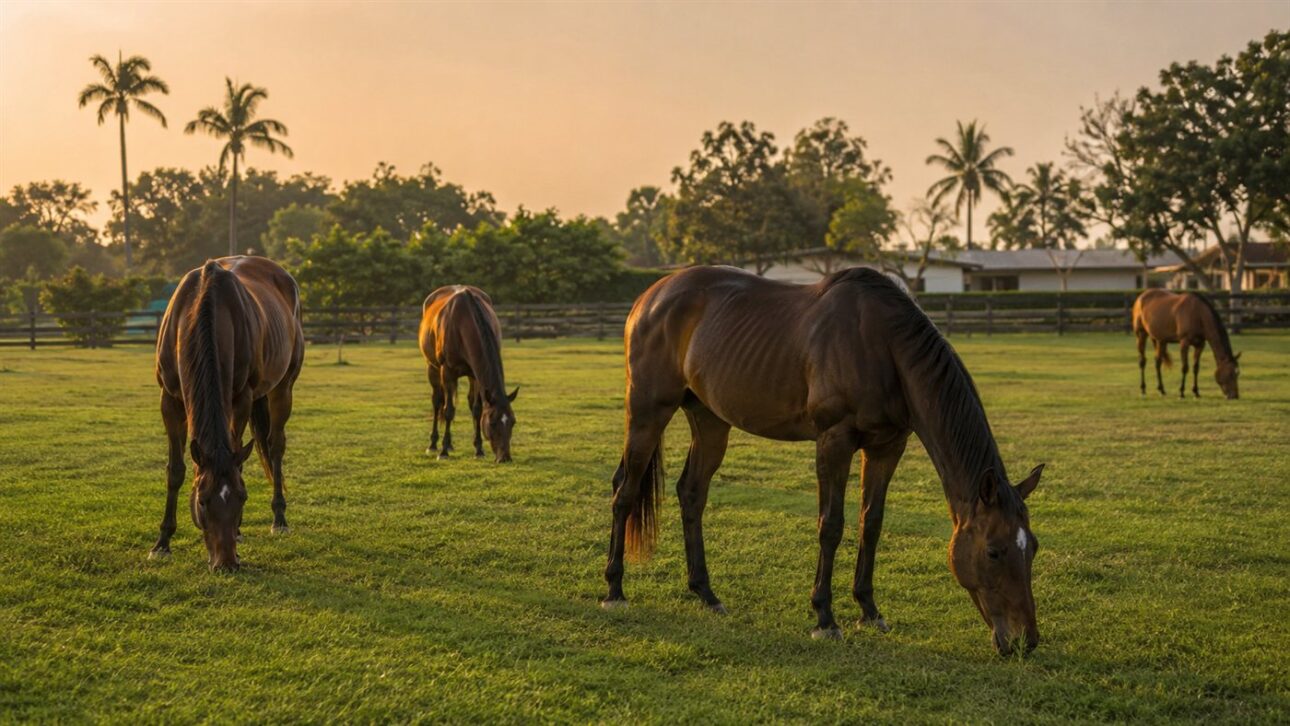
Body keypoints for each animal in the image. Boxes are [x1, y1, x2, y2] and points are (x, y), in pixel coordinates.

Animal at [152, 257, 304, 571]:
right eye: (202, 500)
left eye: (243, 497)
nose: (226, 563)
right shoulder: (170, 400)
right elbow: (176, 470)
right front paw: (162, 543)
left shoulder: (241, 398)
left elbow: (239, 459)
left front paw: (239, 530)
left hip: (283, 387)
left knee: (276, 447)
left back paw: (279, 518)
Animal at [418, 285, 518, 462]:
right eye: (492, 423)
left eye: (513, 422)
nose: (505, 458)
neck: (463, 322)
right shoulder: (447, 371)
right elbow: (448, 411)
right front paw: (443, 452)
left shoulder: (475, 374)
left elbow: (477, 409)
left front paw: (478, 449)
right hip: (433, 368)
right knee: (438, 402)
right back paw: (434, 444)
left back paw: (451, 444)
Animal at [602, 266, 1045, 656]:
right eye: (994, 551)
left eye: (1033, 548)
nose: (1024, 641)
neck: (882, 346)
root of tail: (649, 297)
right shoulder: (834, 441)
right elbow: (831, 525)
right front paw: (825, 618)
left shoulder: (886, 447)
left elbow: (872, 523)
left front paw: (869, 610)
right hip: (648, 411)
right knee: (625, 491)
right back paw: (614, 589)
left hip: (710, 420)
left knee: (692, 493)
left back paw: (706, 593)